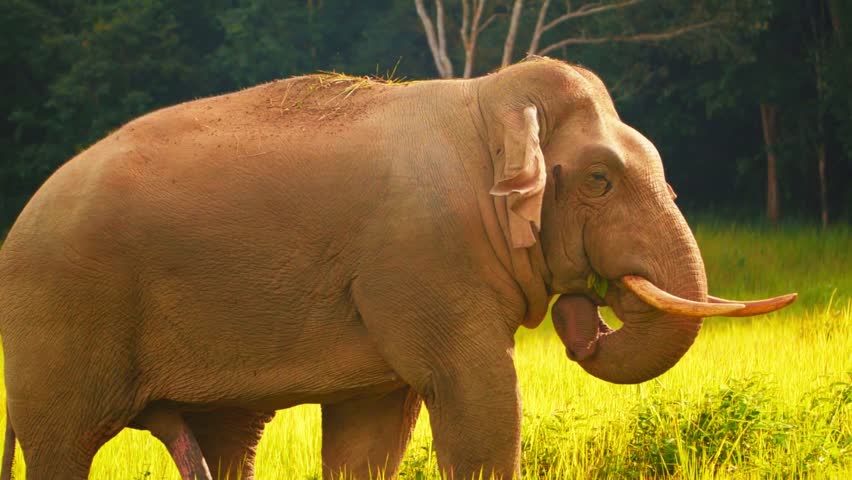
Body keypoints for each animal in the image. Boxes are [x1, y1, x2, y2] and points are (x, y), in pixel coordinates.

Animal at [0, 57, 796, 480]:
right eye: (600, 179)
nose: (592, 311)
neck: (486, 100)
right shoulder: (425, 261)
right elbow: (477, 399)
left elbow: (372, 432)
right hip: (59, 322)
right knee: (62, 449)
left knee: (223, 445)